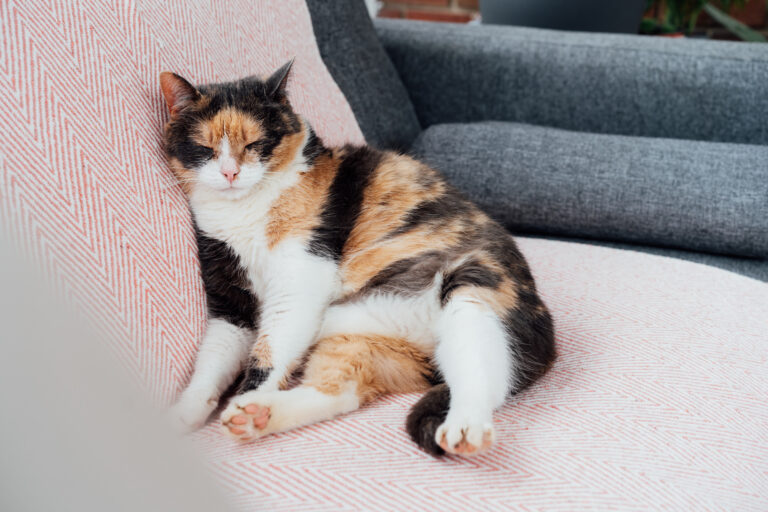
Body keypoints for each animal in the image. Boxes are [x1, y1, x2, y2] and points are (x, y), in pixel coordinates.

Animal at [165, 61, 556, 456]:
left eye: (255, 143)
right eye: (204, 148)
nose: (230, 172)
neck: (243, 211)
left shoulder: (300, 279)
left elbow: (268, 353)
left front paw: (244, 396)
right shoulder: (230, 297)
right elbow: (215, 356)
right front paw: (183, 415)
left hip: (473, 287)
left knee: (483, 374)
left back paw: (465, 429)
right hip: (357, 341)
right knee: (337, 392)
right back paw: (256, 416)